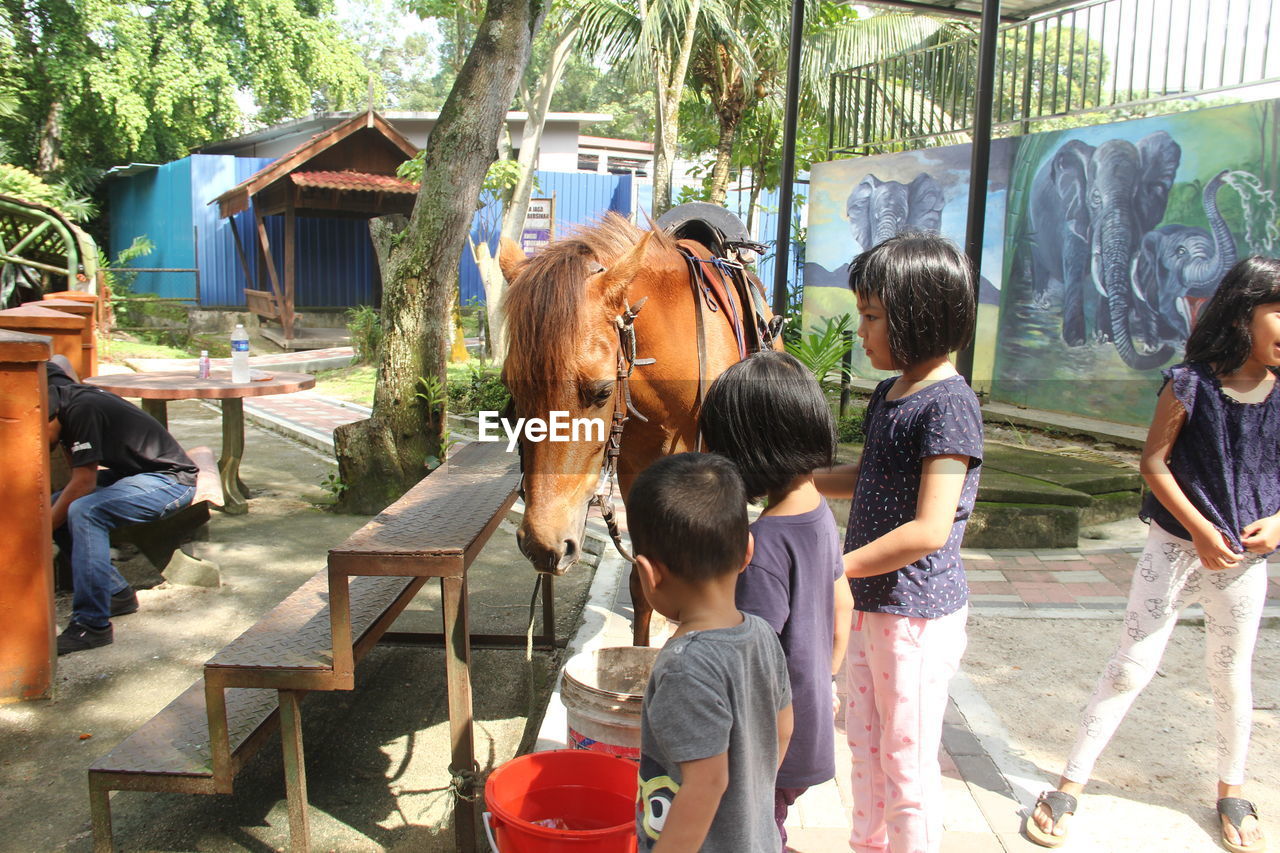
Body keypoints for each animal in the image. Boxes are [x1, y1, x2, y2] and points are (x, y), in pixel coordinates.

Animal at [1024, 130, 1182, 368]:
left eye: (1137, 197)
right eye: (1095, 198)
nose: (1164, 348)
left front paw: (1105, 339)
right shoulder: (1073, 214)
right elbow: (1075, 265)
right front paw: (1076, 342)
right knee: (1039, 261)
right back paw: (1041, 303)